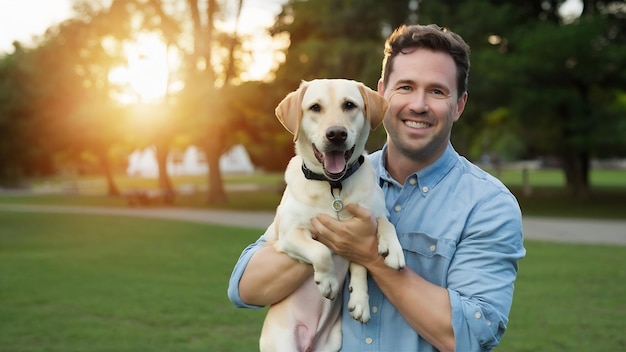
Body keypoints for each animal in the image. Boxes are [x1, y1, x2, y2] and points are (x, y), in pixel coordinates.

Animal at [258, 80, 404, 352]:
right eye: (315, 107)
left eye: (350, 105)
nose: (336, 134)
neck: (334, 186)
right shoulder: (289, 235)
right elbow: (321, 251)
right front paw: (328, 282)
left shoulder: (365, 221)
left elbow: (384, 225)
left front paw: (362, 297)